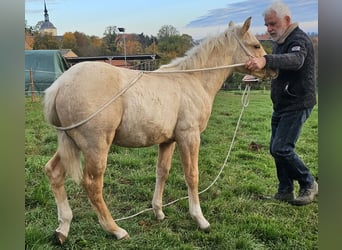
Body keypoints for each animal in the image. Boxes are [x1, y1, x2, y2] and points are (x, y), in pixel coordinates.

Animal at [44, 16, 276, 243]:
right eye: (256, 45)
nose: (272, 70)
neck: (193, 79)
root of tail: (60, 85)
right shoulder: (189, 137)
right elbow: (192, 175)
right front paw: (200, 219)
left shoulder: (167, 141)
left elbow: (162, 172)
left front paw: (158, 211)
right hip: (96, 146)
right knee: (92, 184)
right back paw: (116, 230)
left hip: (70, 143)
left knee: (53, 172)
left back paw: (63, 228)